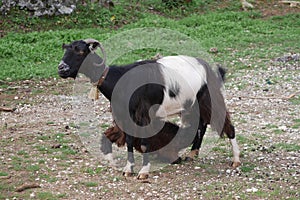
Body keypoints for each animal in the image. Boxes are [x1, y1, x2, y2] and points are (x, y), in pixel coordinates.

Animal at [58, 38, 241, 179]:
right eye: (66, 49)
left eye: (81, 51)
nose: (61, 68)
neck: (120, 80)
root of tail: (207, 66)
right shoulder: (126, 116)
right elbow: (130, 142)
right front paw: (128, 169)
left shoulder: (143, 115)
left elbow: (145, 143)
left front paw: (144, 172)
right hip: (192, 104)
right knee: (201, 124)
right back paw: (191, 154)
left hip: (209, 99)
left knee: (227, 125)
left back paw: (236, 160)